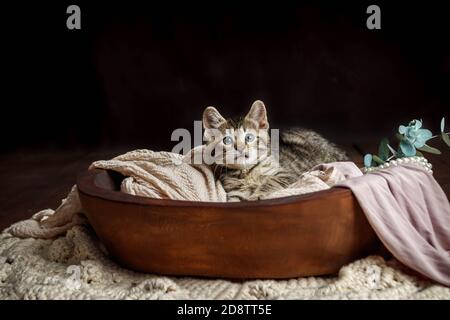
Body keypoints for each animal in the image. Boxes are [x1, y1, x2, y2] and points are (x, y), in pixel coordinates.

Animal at [201, 100, 348, 200]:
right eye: (227, 140)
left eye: (249, 137)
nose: (240, 148)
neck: (247, 172)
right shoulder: (234, 191)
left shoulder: (287, 174)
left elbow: (271, 181)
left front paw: (257, 195)